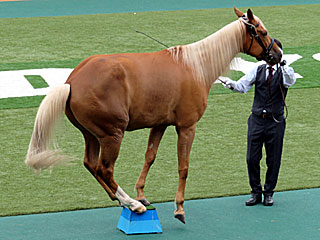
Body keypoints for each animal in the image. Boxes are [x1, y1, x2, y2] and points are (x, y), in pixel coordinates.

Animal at [25, 7, 280, 225]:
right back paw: (132, 205)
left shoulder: (160, 124)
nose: (278, 54)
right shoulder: (187, 127)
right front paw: (179, 208)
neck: (196, 65)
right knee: (104, 169)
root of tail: (71, 81)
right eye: (263, 32)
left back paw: (123, 201)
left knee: (91, 164)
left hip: (91, 135)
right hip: (112, 135)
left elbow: (150, 156)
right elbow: (183, 166)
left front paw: (142, 193)